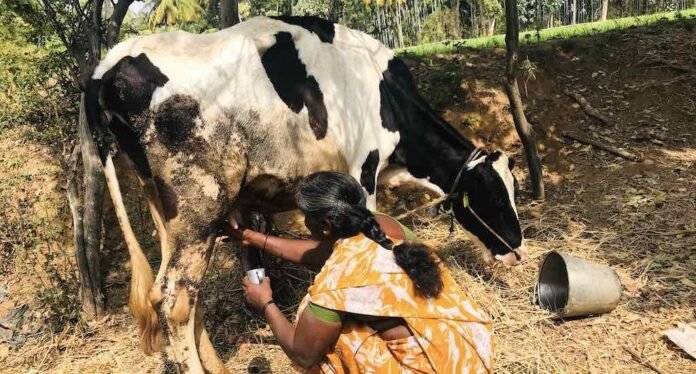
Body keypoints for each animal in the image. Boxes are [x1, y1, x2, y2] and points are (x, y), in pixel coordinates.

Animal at [85, 16, 528, 372]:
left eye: (514, 187)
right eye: (492, 195)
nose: (517, 250)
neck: (383, 90)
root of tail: (111, 65)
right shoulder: (362, 170)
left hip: (167, 208)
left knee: (187, 297)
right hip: (199, 204)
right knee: (173, 299)